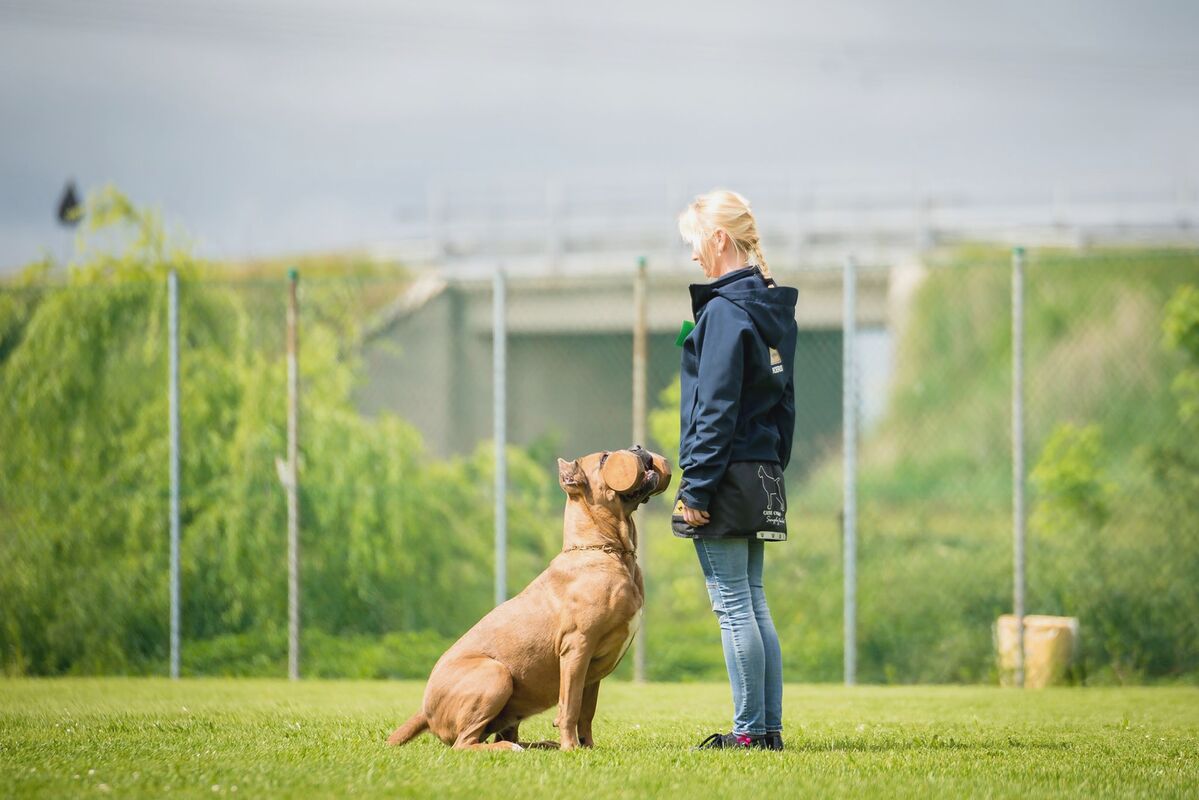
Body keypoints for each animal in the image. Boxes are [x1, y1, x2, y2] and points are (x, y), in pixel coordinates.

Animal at [383, 448, 671, 753]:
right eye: (605, 458)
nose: (639, 449)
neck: (606, 551)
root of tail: (425, 711)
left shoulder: (592, 670)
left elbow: (587, 712)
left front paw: (587, 747)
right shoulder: (577, 647)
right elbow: (570, 707)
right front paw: (571, 747)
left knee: (504, 734)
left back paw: (540, 744)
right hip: (495, 674)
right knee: (465, 743)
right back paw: (512, 748)